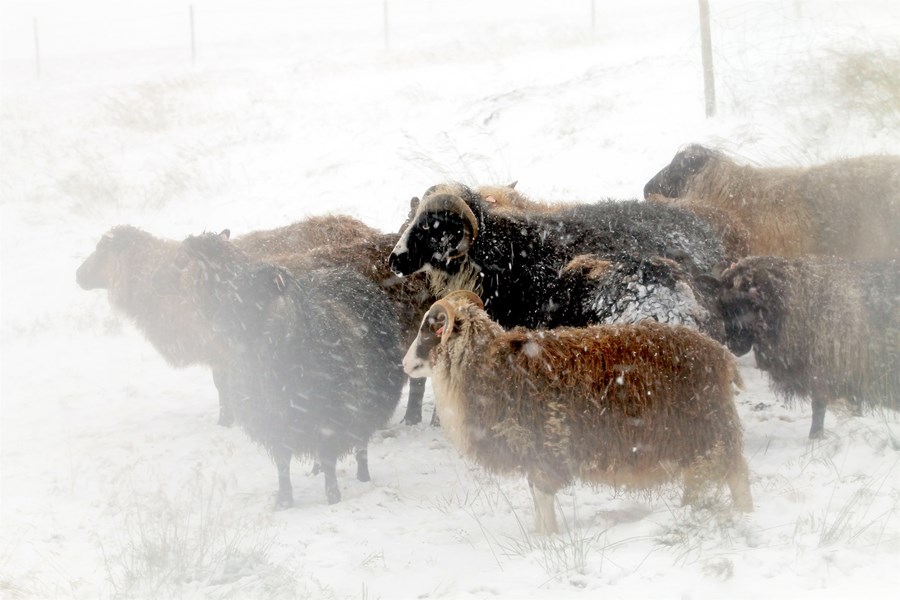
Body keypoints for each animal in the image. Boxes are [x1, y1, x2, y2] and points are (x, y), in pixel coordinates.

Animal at [169, 232, 408, 508]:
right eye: (230, 289)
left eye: (257, 292)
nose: (218, 325)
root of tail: (347, 273)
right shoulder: (273, 420)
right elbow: (283, 464)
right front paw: (284, 501)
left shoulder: (331, 415)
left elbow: (329, 459)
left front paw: (333, 497)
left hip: (367, 405)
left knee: (361, 444)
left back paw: (362, 476)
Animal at [402, 290, 752, 536]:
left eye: (430, 330)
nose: (404, 364)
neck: (487, 366)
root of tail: (720, 355)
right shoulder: (534, 455)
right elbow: (536, 499)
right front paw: (540, 535)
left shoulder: (544, 452)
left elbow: (543, 500)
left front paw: (547, 540)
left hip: (709, 433)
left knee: (735, 477)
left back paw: (741, 515)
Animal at [712, 255, 896, 438]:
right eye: (723, 308)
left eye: (748, 304)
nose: (734, 346)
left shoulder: (824, 369)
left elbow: (819, 406)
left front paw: (815, 437)